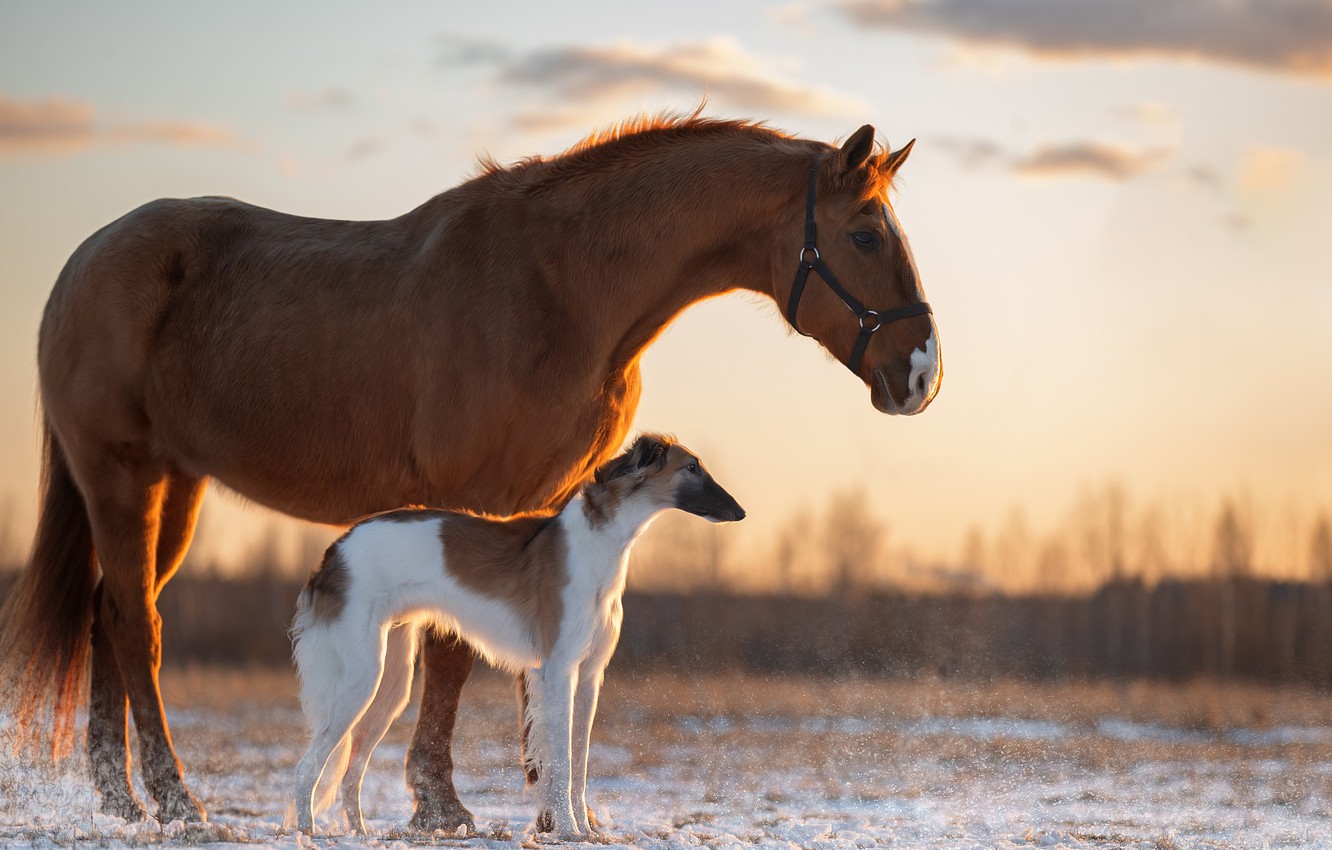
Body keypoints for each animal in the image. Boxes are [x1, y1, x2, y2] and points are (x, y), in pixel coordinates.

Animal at [290, 439, 745, 842]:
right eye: (692, 467)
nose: (741, 512)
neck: (597, 545)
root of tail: (336, 548)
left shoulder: (590, 675)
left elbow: (579, 764)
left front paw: (584, 829)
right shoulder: (559, 671)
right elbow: (561, 762)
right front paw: (569, 831)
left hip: (390, 681)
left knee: (351, 768)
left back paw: (360, 832)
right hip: (360, 678)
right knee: (307, 765)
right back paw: (306, 831)